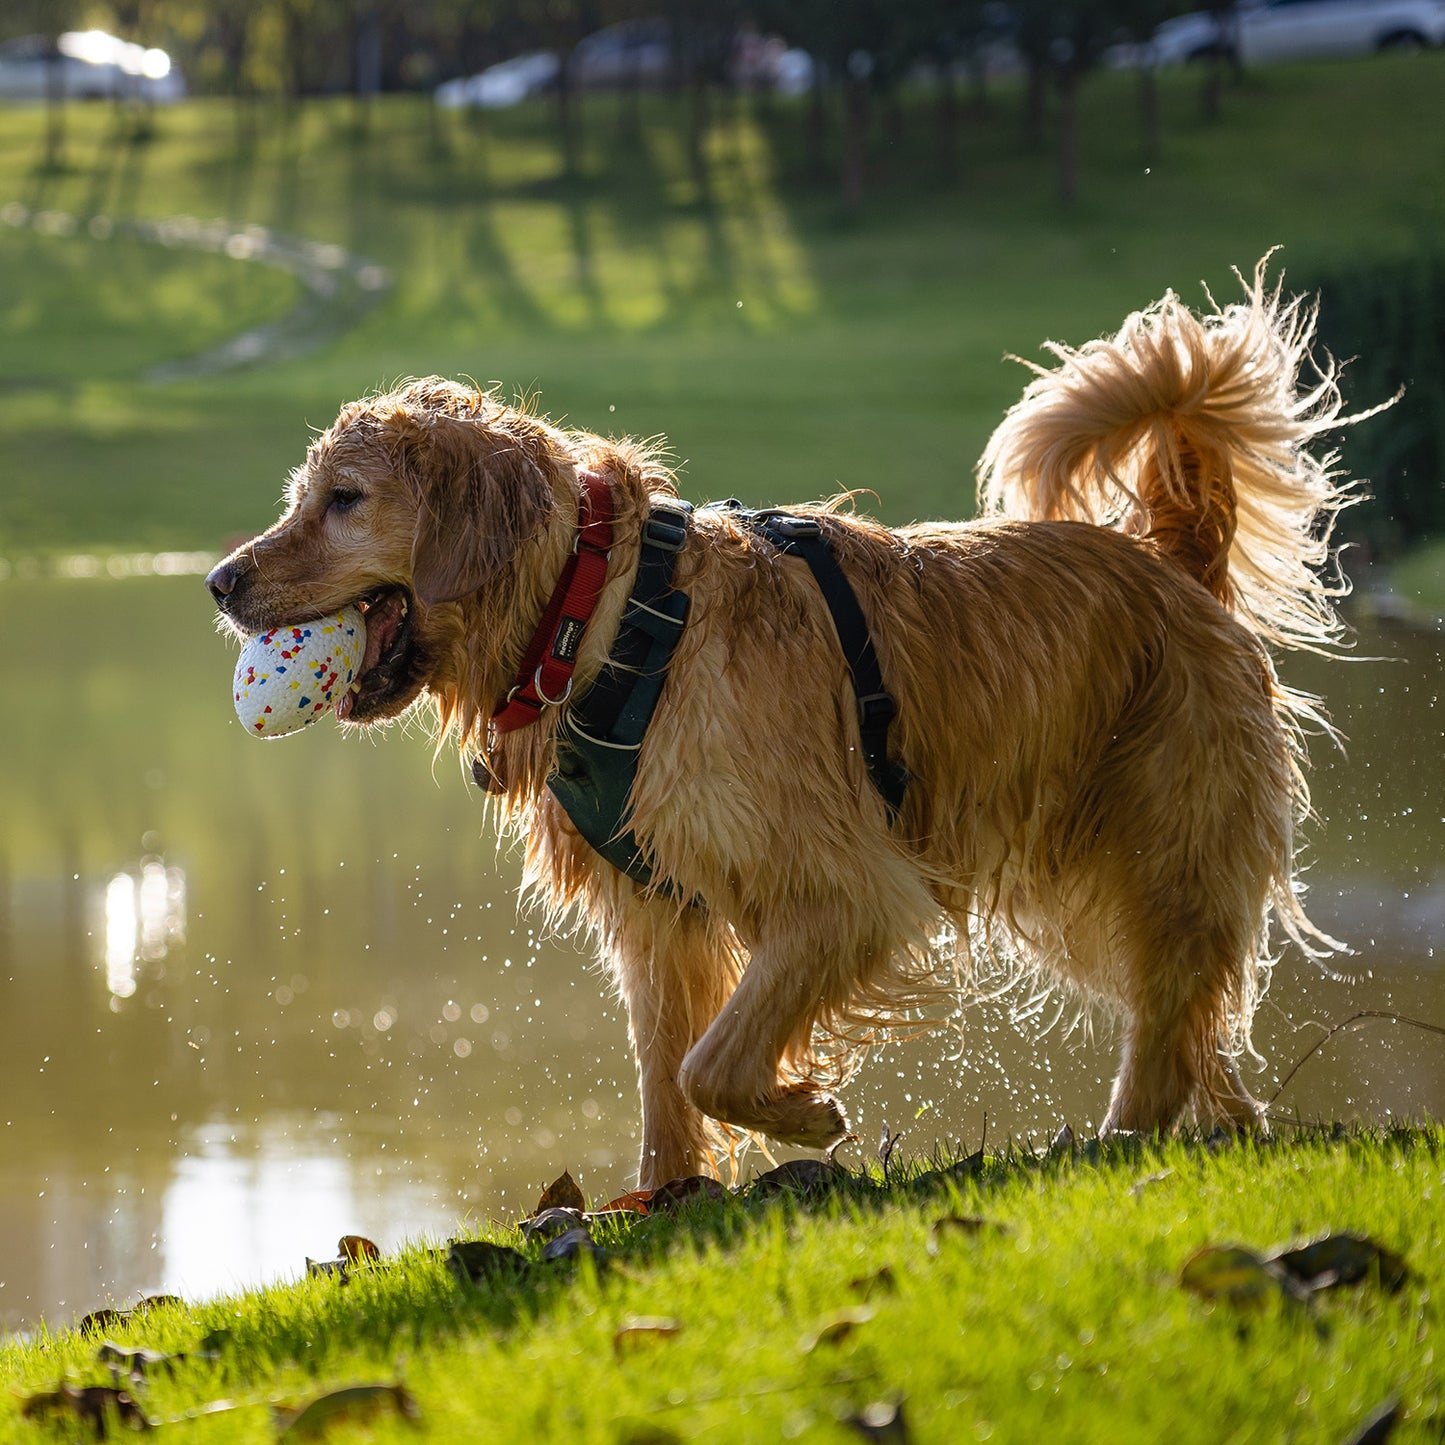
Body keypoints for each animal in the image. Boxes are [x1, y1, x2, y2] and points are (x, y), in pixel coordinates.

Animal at [210, 268, 1352, 1184]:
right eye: (305, 496)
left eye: (344, 499)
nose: (218, 580)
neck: (604, 620)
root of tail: (1172, 556)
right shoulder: (656, 913)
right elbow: (664, 1076)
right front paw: (660, 1199)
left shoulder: (845, 890)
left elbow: (707, 1063)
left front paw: (803, 1113)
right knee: (1197, 1033)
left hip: (1154, 856)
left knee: (1166, 1027)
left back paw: (1122, 1142)